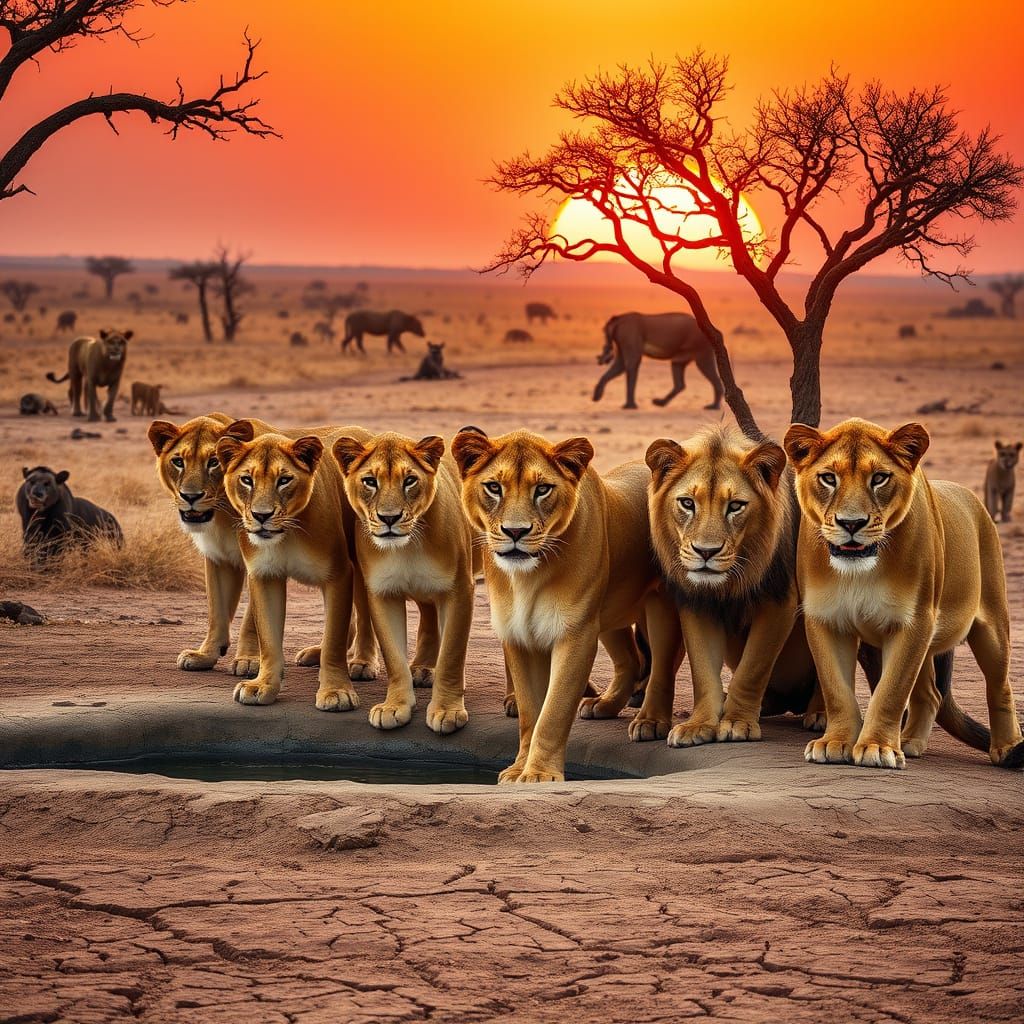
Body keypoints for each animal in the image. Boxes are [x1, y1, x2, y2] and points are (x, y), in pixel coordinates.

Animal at [216, 424, 377, 709]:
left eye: (284, 480)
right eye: (247, 479)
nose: (261, 515)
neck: (287, 533)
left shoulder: (339, 572)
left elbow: (334, 638)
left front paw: (336, 691)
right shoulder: (264, 575)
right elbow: (269, 639)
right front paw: (262, 686)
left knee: (363, 616)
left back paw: (362, 662)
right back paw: (316, 653)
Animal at [333, 431, 474, 734]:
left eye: (409, 480)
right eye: (370, 481)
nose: (389, 518)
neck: (406, 547)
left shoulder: (458, 590)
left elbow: (452, 654)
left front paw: (447, 710)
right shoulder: (382, 594)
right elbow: (394, 657)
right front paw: (394, 707)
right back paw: (421, 668)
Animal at [451, 427, 682, 783]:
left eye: (542, 489)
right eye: (494, 487)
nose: (515, 531)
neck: (527, 577)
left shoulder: (575, 634)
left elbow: (553, 712)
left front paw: (538, 774)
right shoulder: (518, 636)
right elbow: (530, 713)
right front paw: (518, 768)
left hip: (660, 605)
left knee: (662, 664)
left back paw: (650, 721)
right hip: (608, 614)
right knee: (630, 660)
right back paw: (604, 705)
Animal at [642, 426, 833, 746]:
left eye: (735, 506)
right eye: (687, 503)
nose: (706, 552)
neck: (729, 582)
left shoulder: (779, 602)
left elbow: (752, 669)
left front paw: (736, 722)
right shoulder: (696, 602)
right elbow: (703, 671)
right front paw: (699, 725)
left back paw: (820, 713)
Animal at [784, 417, 1024, 770]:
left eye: (879, 478)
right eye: (828, 478)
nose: (851, 524)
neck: (860, 570)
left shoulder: (913, 621)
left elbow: (891, 691)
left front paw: (877, 747)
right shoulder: (825, 619)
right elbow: (836, 688)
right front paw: (836, 742)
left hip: (991, 626)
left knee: (1000, 686)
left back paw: (1007, 748)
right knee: (931, 694)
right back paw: (910, 742)